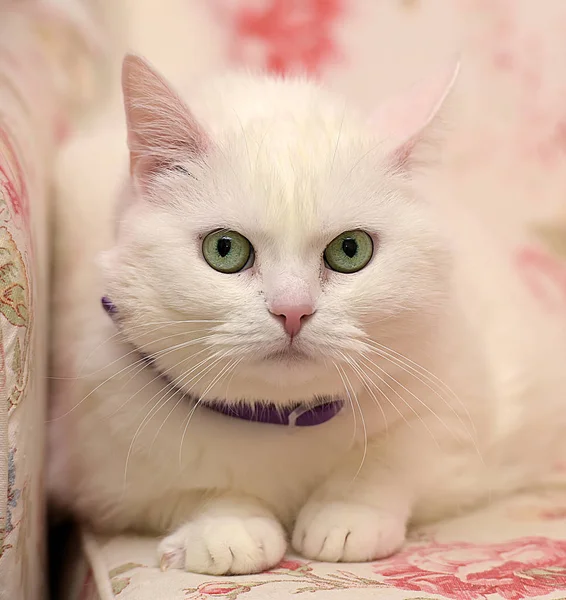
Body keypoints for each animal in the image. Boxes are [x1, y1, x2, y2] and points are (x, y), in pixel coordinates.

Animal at [47, 56, 566, 576]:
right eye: (224, 249)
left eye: (351, 249)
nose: (292, 310)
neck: (282, 424)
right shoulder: (103, 477)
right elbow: (197, 490)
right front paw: (228, 527)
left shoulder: (460, 411)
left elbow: (395, 459)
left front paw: (346, 516)